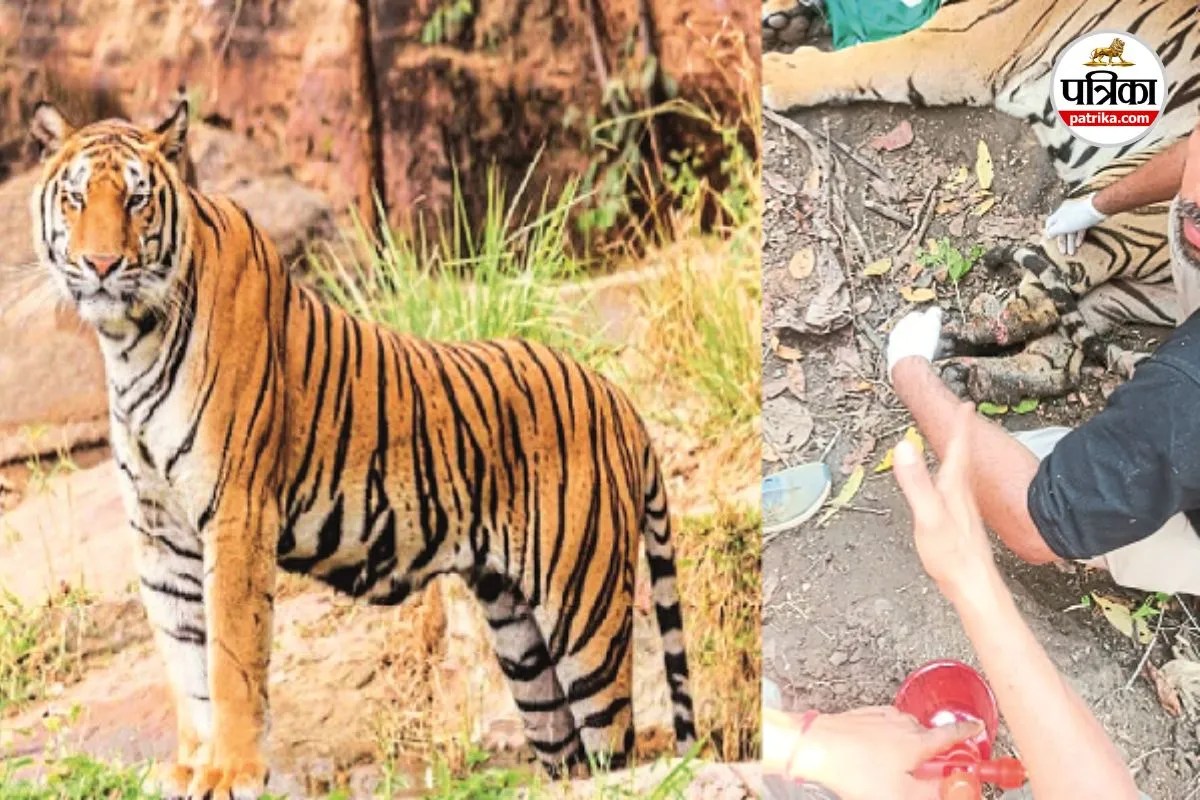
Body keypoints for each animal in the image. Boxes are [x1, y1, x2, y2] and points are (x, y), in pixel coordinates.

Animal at [27, 97, 696, 798]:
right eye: (75, 198)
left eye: (135, 200)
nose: (101, 265)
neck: (130, 341)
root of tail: (617, 398)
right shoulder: (159, 530)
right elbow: (184, 659)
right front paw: (191, 767)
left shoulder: (237, 514)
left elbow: (229, 657)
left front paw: (232, 770)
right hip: (520, 638)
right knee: (569, 754)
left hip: (583, 614)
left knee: (615, 743)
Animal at [763, 0, 1200, 403]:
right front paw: (783, 20)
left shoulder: (953, 42)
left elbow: (865, 56)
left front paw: (776, 73)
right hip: (1137, 294)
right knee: (1061, 348)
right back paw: (974, 372)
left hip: (1123, 203)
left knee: (1036, 304)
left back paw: (956, 333)